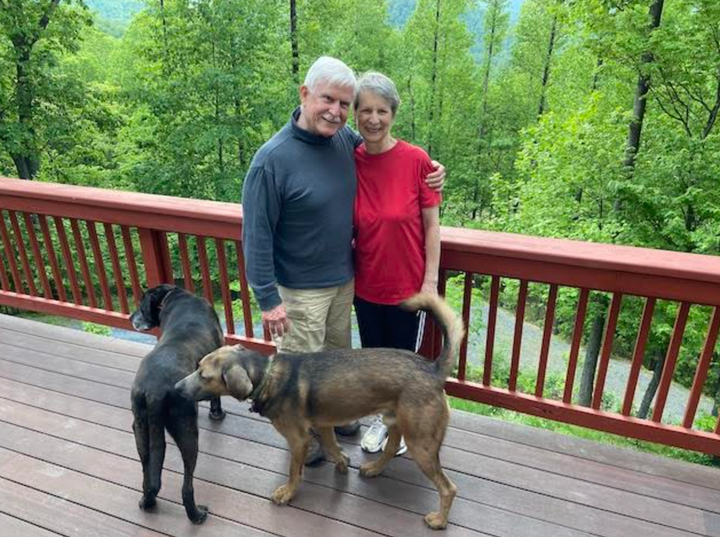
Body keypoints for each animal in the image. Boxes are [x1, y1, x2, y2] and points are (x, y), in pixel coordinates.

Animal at [130, 284, 225, 524]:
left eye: (140, 305)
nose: (129, 317)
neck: (173, 297)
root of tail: (153, 391)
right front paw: (217, 414)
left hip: (140, 429)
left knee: (148, 477)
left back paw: (147, 502)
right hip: (187, 431)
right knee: (186, 487)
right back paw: (197, 515)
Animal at [177, 292, 464, 528]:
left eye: (204, 376)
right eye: (198, 366)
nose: (177, 388)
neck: (267, 376)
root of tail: (433, 370)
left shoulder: (298, 439)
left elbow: (294, 471)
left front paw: (287, 494)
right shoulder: (324, 425)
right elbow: (333, 448)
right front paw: (343, 463)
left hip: (421, 443)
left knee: (448, 488)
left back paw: (439, 521)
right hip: (397, 424)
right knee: (391, 450)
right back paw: (373, 469)